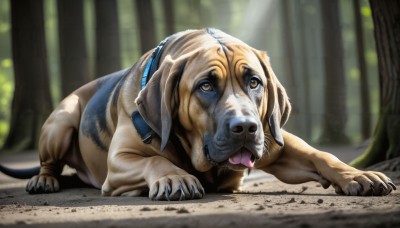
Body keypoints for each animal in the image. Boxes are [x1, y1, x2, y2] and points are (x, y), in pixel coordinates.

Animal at [0, 28, 396, 200]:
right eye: (206, 86)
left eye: (254, 82)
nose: (245, 127)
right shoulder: (120, 160)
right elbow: (155, 160)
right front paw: (175, 177)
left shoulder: (276, 143)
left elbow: (320, 155)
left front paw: (358, 174)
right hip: (62, 118)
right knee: (49, 162)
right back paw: (44, 180)